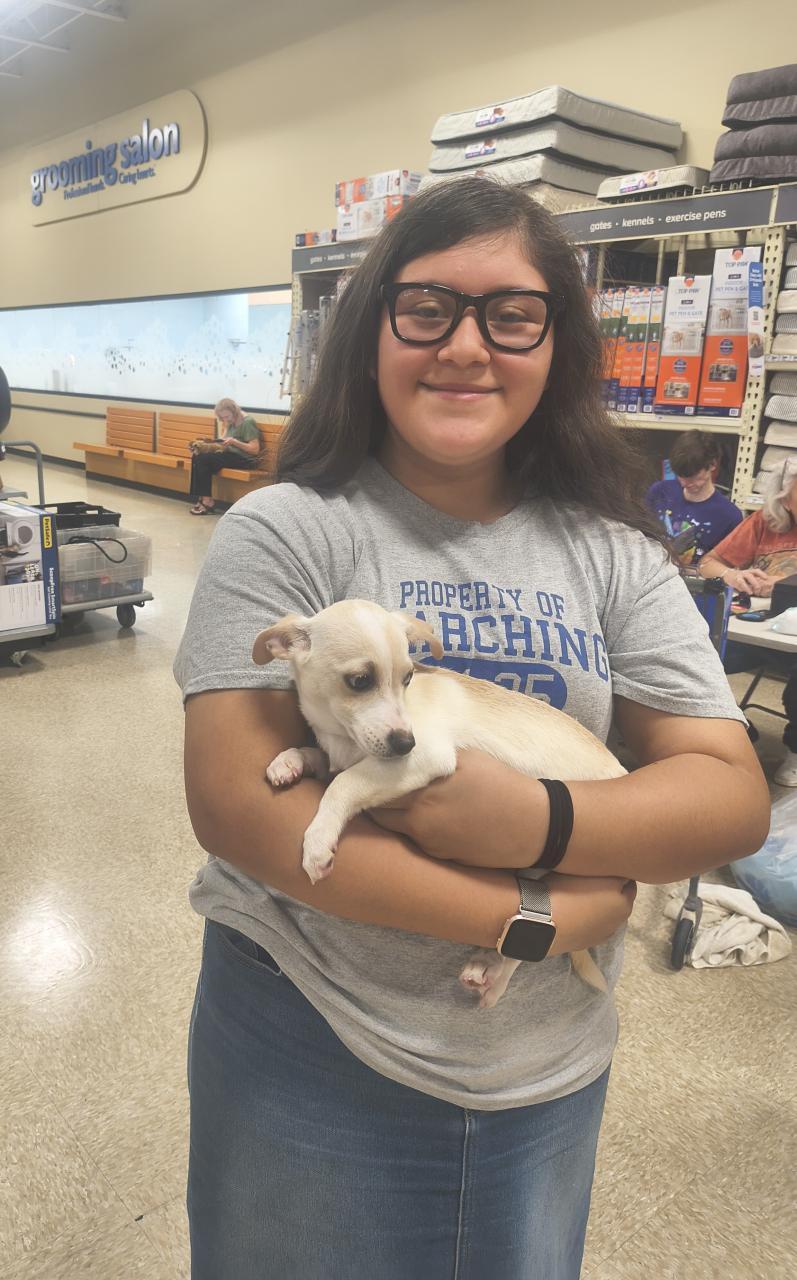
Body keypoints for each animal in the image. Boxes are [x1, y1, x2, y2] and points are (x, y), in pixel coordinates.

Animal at [253, 600, 626, 1008]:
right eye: (360, 681)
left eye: (407, 679)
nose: (405, 742)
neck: (342, 737)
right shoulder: (346, 753)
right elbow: (322, 761)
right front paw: (289, 761)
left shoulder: (424, 756)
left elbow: (342, 784)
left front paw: (318, 840)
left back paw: (494, 977)